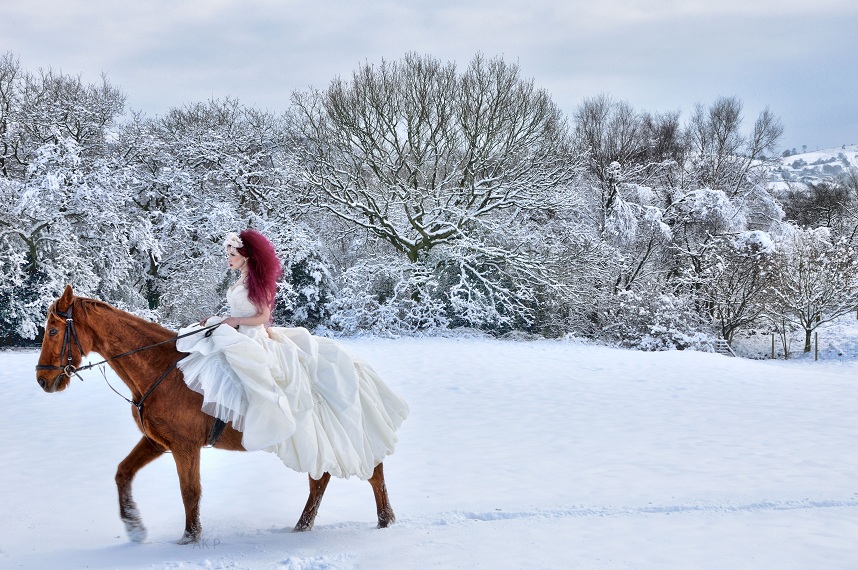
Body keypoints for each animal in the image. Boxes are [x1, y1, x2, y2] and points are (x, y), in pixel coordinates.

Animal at [32, 284, 394, 540]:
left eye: (53, 330)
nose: (43, 380)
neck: (161, 368)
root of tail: (358, 367)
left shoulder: (184, 446)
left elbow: (190, 492)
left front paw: (190, 538)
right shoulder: (157, 442)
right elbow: (123, 473)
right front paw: (134, 526)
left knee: (368, 473)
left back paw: (383, 520)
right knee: (322, 480)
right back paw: (307, 526)